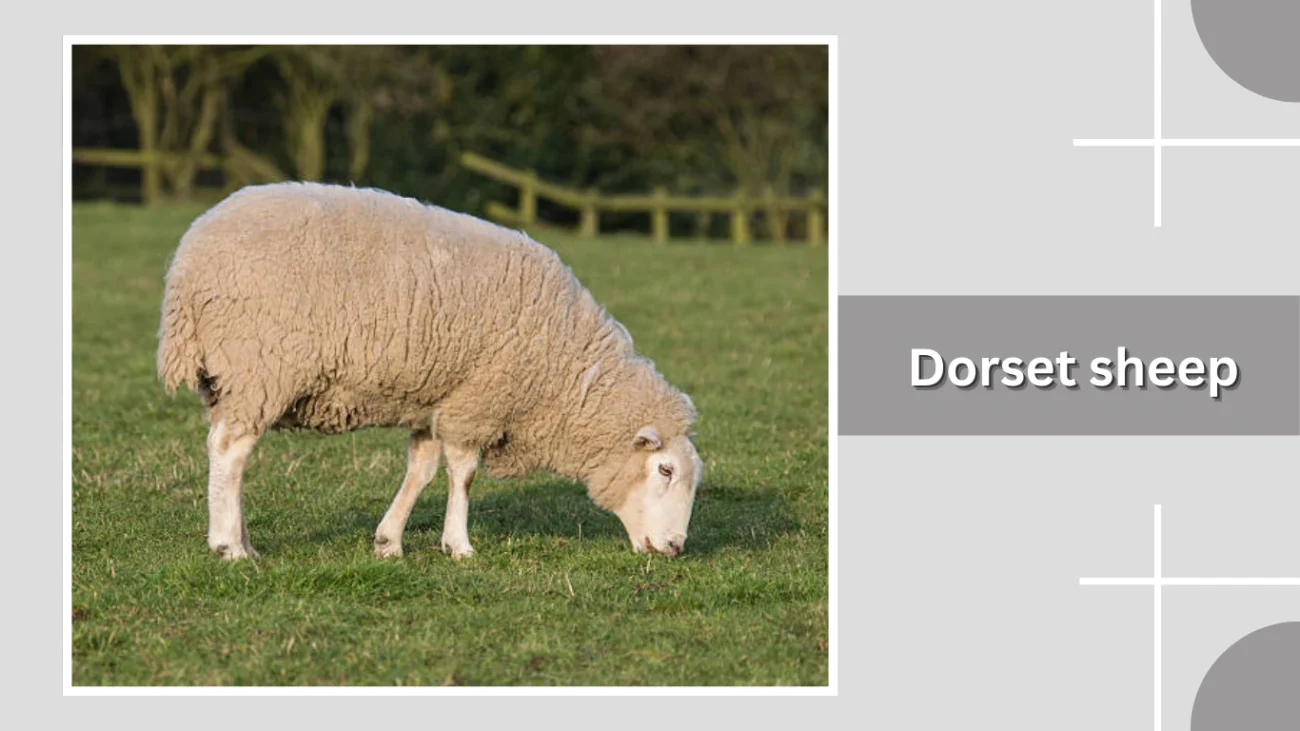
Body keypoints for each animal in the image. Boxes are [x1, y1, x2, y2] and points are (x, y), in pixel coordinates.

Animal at [157, 182, 704, 561]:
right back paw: (228, 546)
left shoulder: (435, 399)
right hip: (261, 365)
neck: (564, 371)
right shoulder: (479, 398)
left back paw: (243, 540)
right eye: (665, 470)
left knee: (231, 451)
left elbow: (420, 469)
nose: (677, 548)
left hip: (236, 378)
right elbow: (463, 474)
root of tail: (190, 259)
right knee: (230, 450)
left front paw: (389, 542)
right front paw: (458, 545)